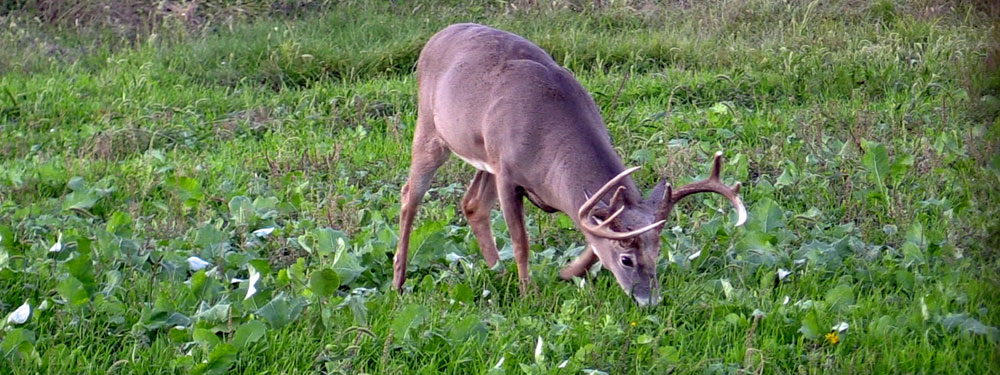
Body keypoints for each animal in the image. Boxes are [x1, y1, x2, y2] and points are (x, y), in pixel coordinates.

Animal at [394, 22, 748, 306]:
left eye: (657, 252)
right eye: (626, 260)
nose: (650, 301)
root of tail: (437, 36)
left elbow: (591, 234)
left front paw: (566, 273)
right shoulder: (508, 173)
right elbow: (522, 242)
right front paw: (530, 295)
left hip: (482, 156)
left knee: (471, 204)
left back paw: (497, 272)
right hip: (430, 129)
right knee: (410, 195)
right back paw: (399, 280)